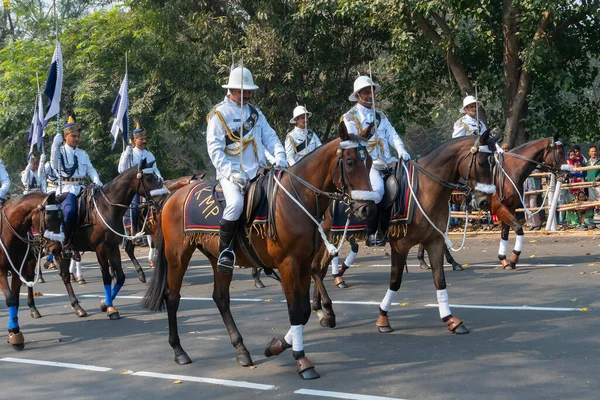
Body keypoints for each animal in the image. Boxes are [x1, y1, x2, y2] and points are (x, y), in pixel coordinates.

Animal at [0, 192, 62, 348]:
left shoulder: (17, 270)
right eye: (48, 217)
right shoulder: (1, 271)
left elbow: (15, 300)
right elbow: (10, 299)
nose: (56, 249)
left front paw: (13, 331)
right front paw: (15, 335)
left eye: (62, 217)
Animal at [25, 159, 165, 318]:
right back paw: (34, 306)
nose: (162, 200)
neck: (108, 208)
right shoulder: (101, 249)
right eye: (148, 178)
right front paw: (110, 308)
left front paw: (104, 304)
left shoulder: (113, 247)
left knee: (63, 275)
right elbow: (106, 277)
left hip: (59, 251)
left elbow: (121, 277)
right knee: (32, 275)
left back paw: (76, 306)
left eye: (156, 176)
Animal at [142, 123, 376, 380]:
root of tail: (172, 197)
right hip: (178, 256)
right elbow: (296, 311)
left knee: (221, 298)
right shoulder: (288, 265)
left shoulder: (304, 263)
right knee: (172, 297)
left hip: (217, 258)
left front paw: (276, 345)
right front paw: (301, 360)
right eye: (350, 161)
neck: (295, 200)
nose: (367, 208)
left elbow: (303, 310)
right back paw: (179, 350)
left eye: (370, 161)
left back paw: (241, 350)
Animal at [312, 131, 500, 332]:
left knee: (318, 268)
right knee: (317, 267)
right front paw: (383, 318)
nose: (484, 202)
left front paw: (450, 319)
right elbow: (395, 281)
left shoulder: (435, 241)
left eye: (493, 164)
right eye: (481, 162)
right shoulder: (400, 245)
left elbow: (439, 279)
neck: (425, 189)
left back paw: (321, 309)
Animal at [418, 136, 568, 270]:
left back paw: (425, 261)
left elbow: (505, 233)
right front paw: (513, 258)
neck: (509, 172)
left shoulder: (510, 207)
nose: (566, 174)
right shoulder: (499, 208)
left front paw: (505, 260)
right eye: (560, 152)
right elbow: (518, 229)